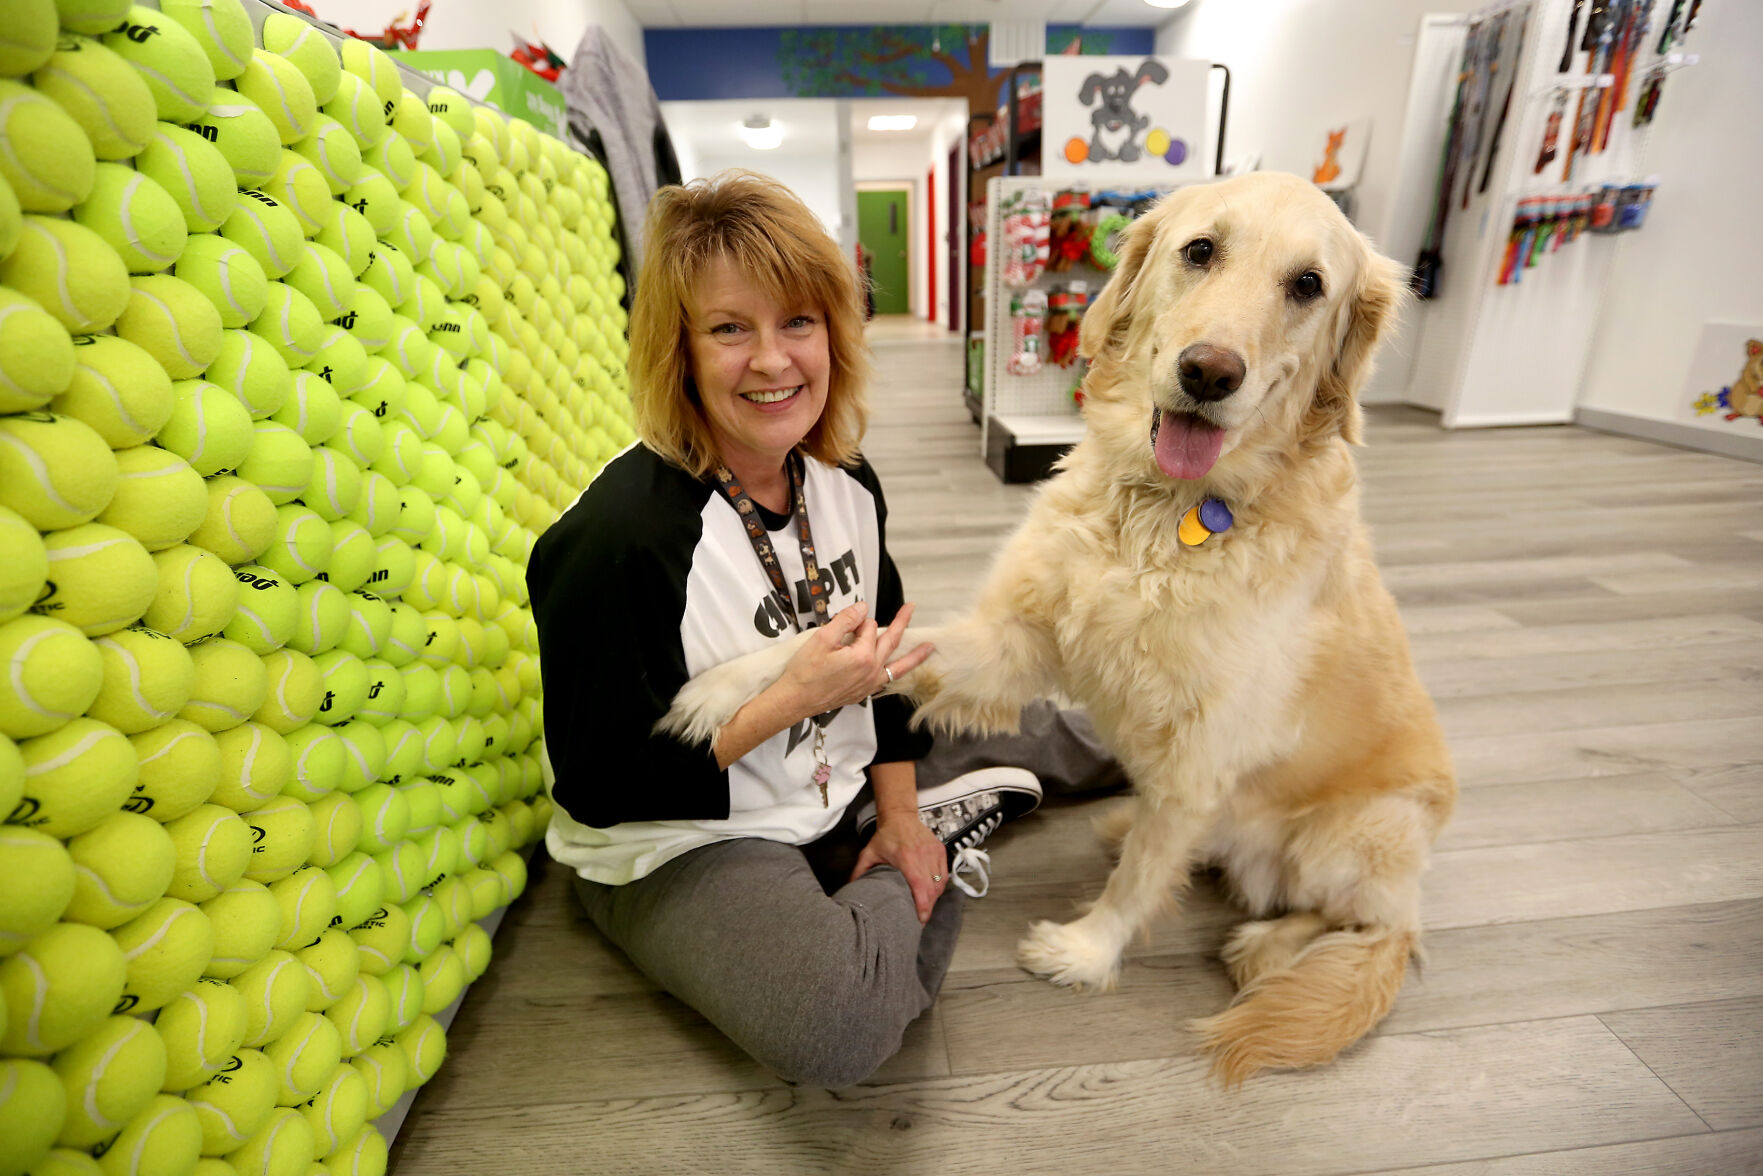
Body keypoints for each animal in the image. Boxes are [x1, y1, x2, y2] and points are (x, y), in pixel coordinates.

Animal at [662, 170, 1459, 1079]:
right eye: (1200, 250)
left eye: (1307, 286)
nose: (1208, 372)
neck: (1166, 515)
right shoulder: (1012, 641)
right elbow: (851, 646)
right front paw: (723, 691)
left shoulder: (1200, 758)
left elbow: (1143, 879)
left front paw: (1084, 951)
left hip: (1360, 832)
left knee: (1380, 929)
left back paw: (1262, 942)